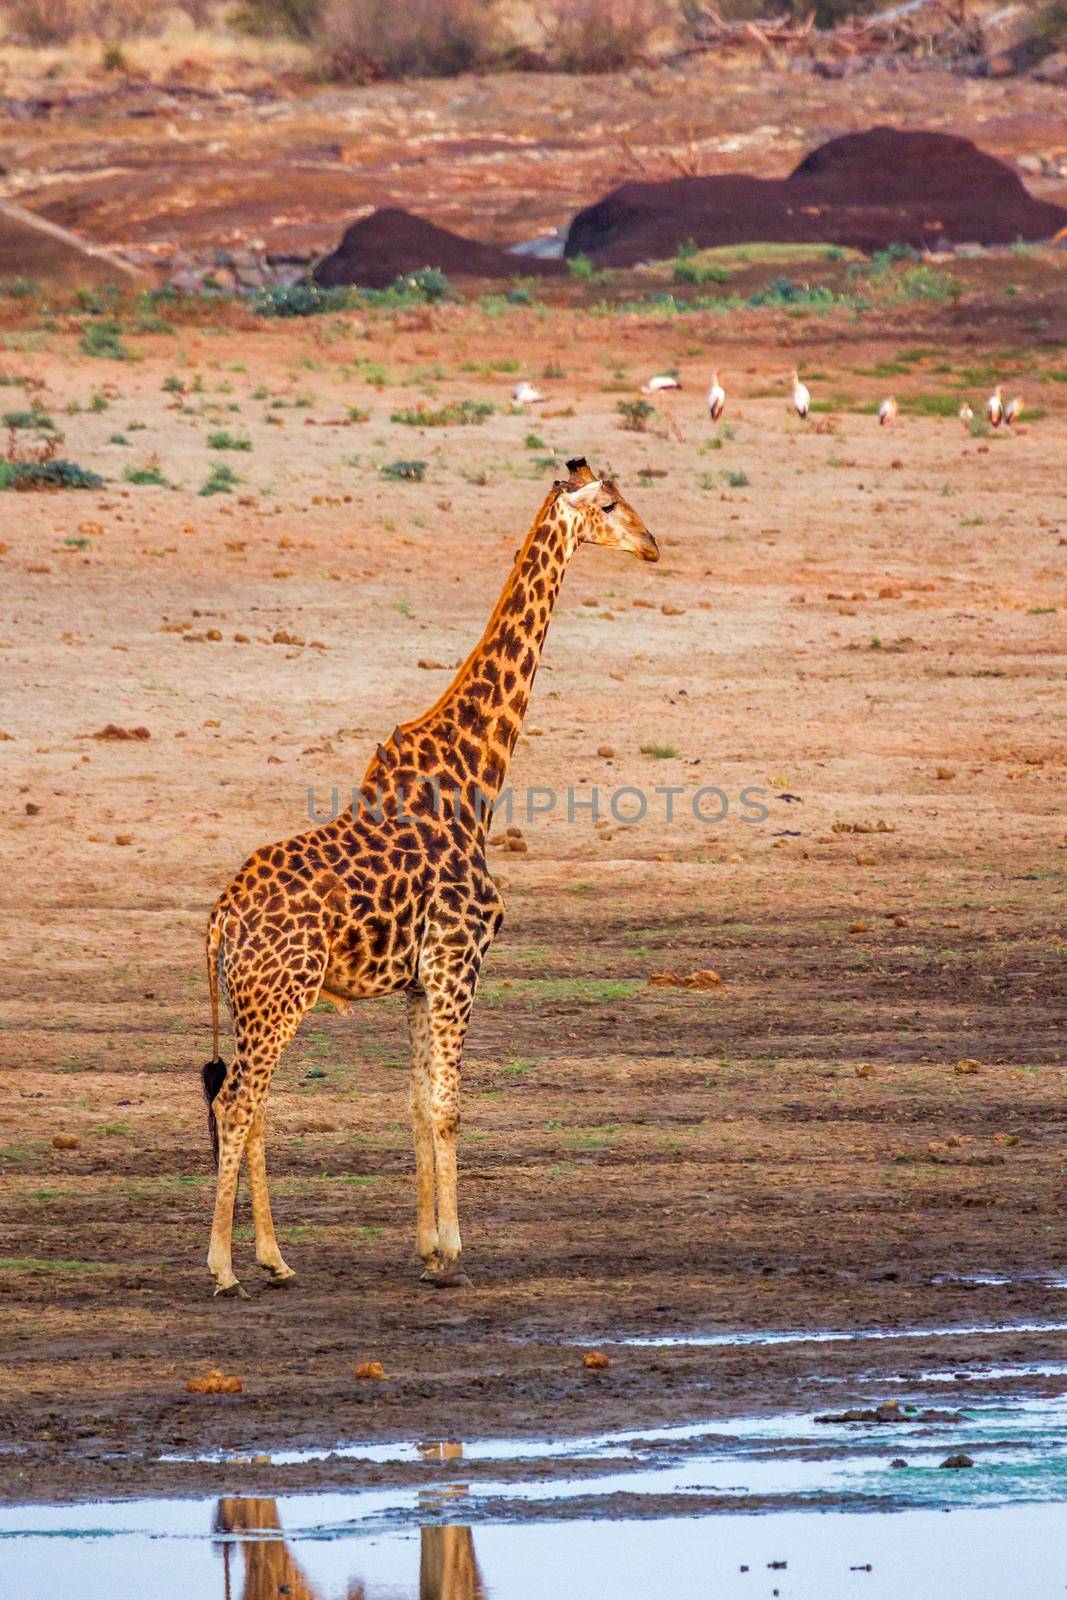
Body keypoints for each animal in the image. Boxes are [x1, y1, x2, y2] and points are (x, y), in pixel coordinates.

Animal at [195, 457, 655, 1292]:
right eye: (608, 504)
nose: (652, 544)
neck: (473, 782)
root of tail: (219, 919)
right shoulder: (457, 963)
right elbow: (447, 1106)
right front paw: (452, 1253)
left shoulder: (419, 978)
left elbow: (414, 1104)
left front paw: (425, 1247)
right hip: (282, 994)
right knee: (238, 1103)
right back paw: (222, 1269)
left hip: (255, 999)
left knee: (252, 1102)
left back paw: (275, 1259)